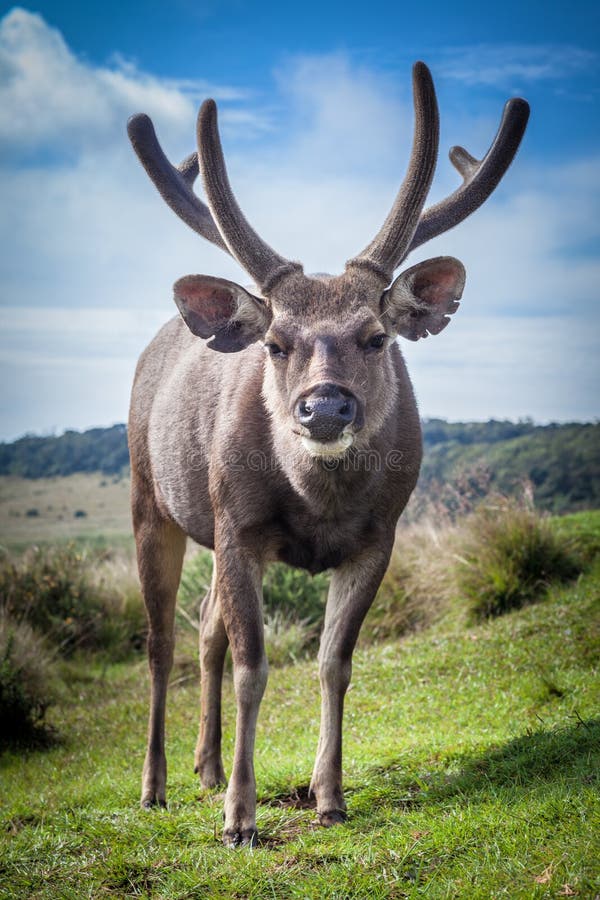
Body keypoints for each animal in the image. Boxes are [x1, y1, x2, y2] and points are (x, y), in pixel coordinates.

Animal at [126, 61, 528, 844]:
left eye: (375, 336)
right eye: (277, 343)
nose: (325, 406)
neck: (317, 506)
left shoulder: (380, 535)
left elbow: (333, 662)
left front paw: (329, 795)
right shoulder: (238, 526)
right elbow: (254, 668)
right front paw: (241, 820)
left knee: (205, 625)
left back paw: (206, 769)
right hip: (150, 498)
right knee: (160, 642)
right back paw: (157, 786)